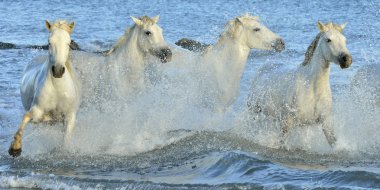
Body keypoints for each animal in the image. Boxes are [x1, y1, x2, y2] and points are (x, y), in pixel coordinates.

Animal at [8, 20, 79, 157]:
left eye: (68, 43)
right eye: (49, 42)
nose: (58, 70)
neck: (57, 88)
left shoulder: (69, 116)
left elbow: (66, 138)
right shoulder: (37, 110)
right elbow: (25, 119)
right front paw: (15, 148)